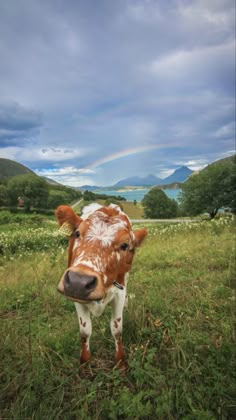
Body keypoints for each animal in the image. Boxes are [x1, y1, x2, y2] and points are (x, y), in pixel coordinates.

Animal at [56, 203, 147, 368]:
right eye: (77, 233)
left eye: (124, 245)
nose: (79, 280)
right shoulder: (76, 297)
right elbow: (85, 331)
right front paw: (85, 362)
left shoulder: (119, 293)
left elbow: (117, 329)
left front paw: (120, 361)